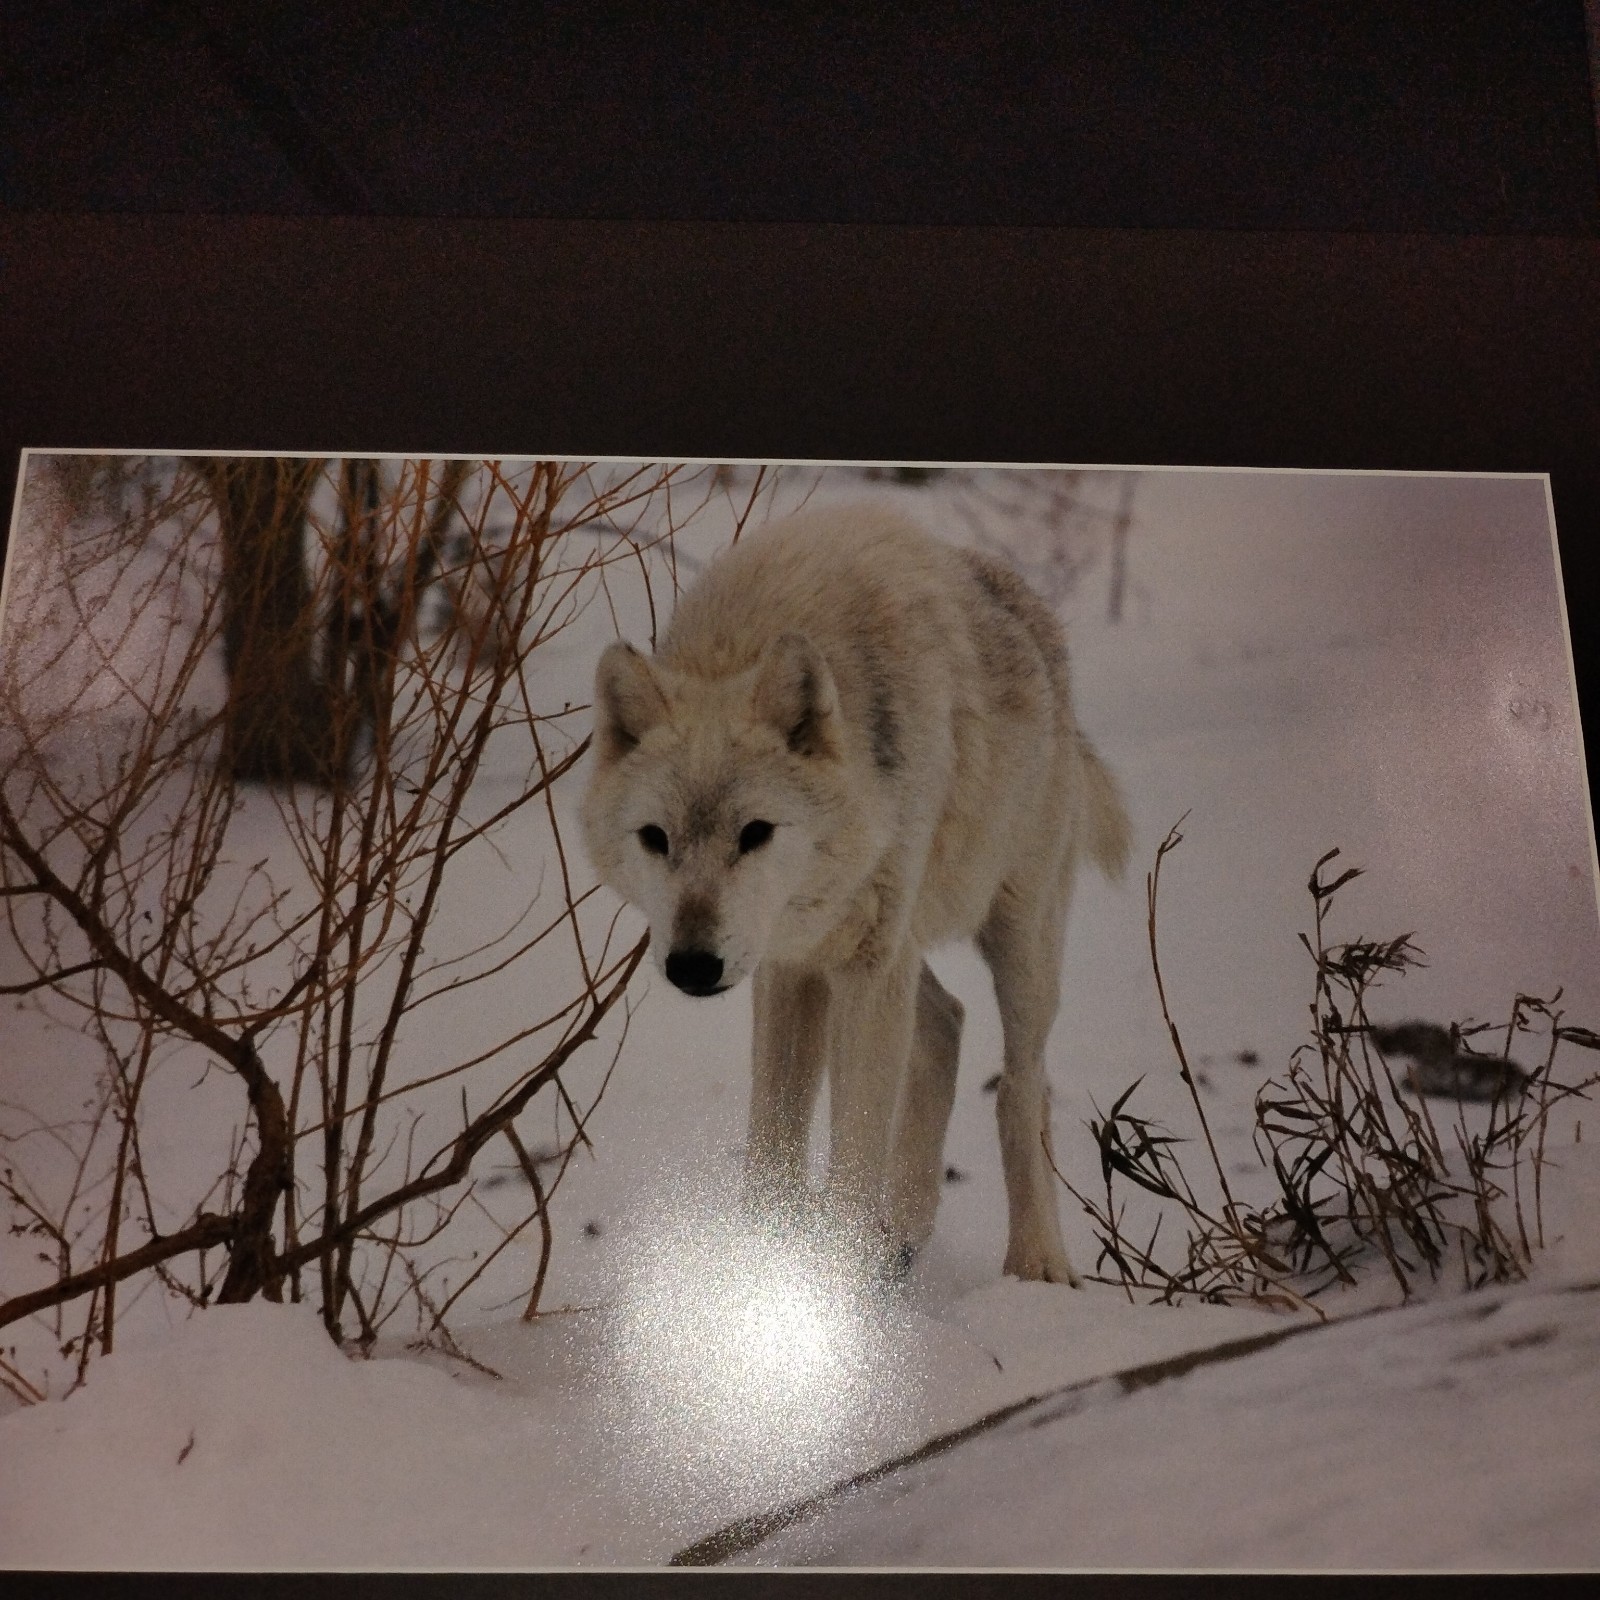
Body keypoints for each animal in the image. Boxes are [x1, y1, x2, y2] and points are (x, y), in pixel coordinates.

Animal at [580, 503, 1130, 1283]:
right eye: (656, 838)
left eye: (755, 833)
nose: (692, 966)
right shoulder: (791, 965)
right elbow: (773, 1150)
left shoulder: (864, 966)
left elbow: (854, 1155)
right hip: (894, 953)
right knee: (948, 1024)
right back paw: (901, 1235)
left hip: (1016, 943)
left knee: (1024, 1090)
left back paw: (1036, 1264)